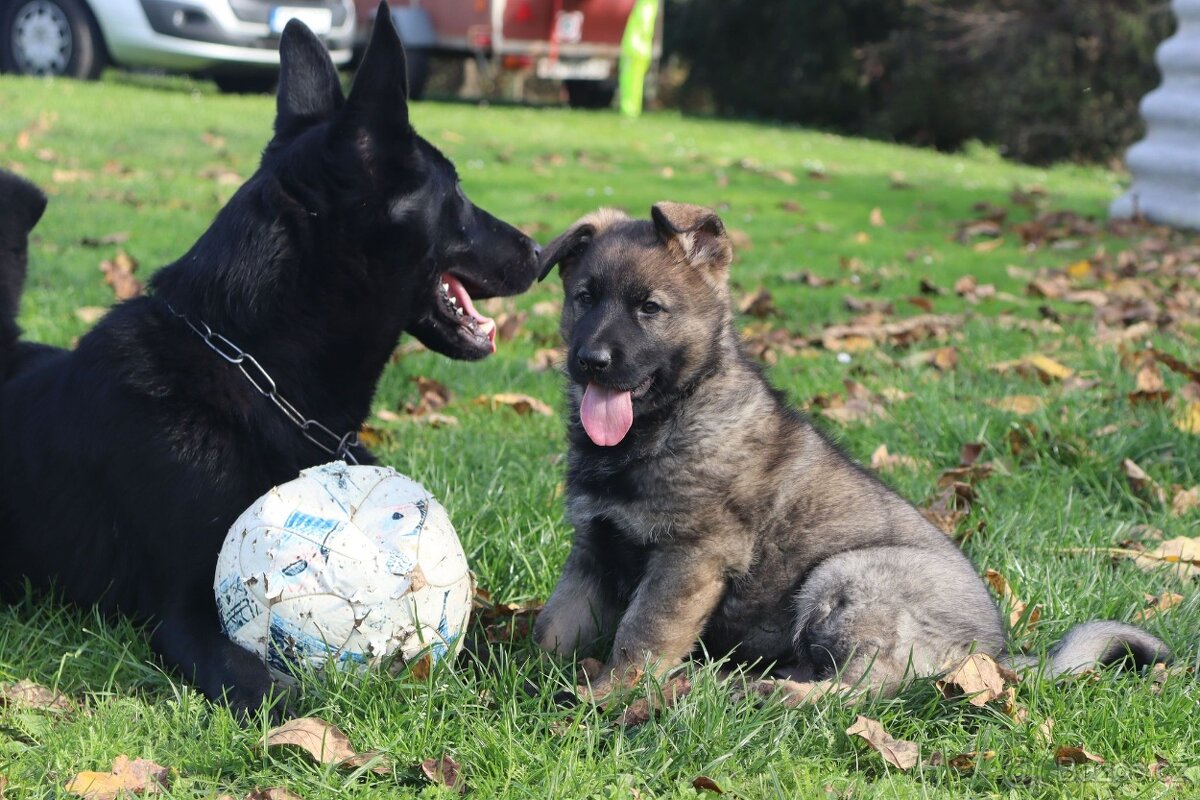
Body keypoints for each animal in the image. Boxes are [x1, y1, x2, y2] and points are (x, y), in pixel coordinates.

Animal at [0, 4, 537, 719]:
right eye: (455, 193)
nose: (539, 251)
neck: (255, 372)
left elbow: (495, 640)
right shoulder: (187, 616)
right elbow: (286, 695)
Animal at [537, 205, 1171, 695]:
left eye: (649, 307)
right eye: (584, 298)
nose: (590, 362)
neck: (668, 421)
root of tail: (994, 655)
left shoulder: (689, 555)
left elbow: (642, 634)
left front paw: (605, 697)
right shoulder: (593, 546)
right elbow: (552, 625)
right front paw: (525, 681)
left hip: (849, 576)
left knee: (866, 684)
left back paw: (776, 695)